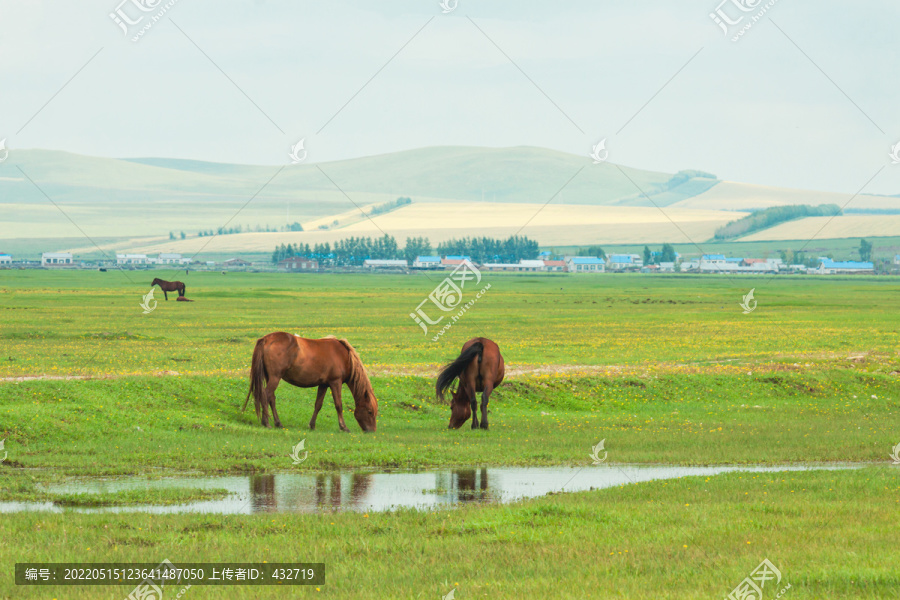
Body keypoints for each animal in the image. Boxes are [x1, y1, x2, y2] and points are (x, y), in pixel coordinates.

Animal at [241, 332, 378, 432]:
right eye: (370, 411)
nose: (372, 431)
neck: (344, 356)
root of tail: (266, 339)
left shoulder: (323, 384)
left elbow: (318, 405)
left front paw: (312, 425)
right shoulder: (335, 382)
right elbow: (338, 405)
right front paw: (344, 427)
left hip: (270, 377)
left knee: (271, 399)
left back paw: (278, 423)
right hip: (275, 377)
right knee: (265, 395)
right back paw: (266, 422)